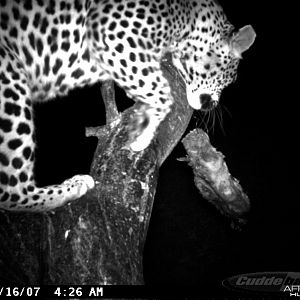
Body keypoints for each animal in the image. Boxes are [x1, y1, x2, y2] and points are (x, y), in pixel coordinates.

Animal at [0, 0, 255, 211]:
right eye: (229, 78)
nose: (212, 105)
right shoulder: (112, 34)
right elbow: (161, 93)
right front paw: (142, 136)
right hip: (11, 82)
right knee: (11, 191)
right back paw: (74, 186)